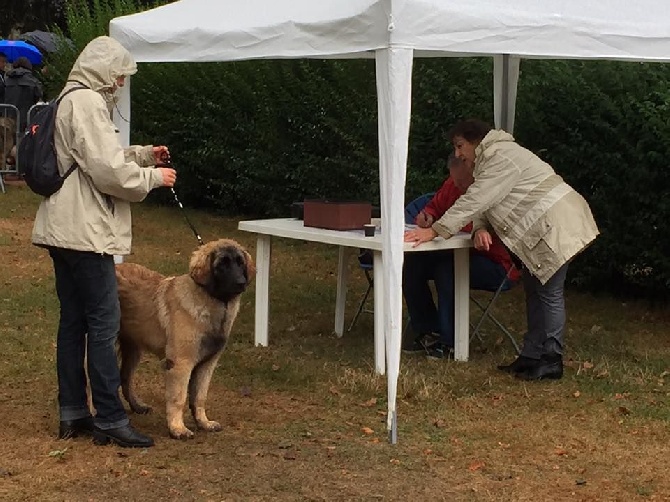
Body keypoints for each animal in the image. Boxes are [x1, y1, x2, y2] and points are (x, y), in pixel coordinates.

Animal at [115, 239, 255, 440]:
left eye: (240, 262)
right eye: (222, 264)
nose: (240, 283)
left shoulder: (207, 364)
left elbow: (199, 396)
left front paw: (203, 422)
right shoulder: (181, 364)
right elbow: (178, 398)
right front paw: (177, 429)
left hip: (133, 348)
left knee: (125, 378)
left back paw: (137, 406)